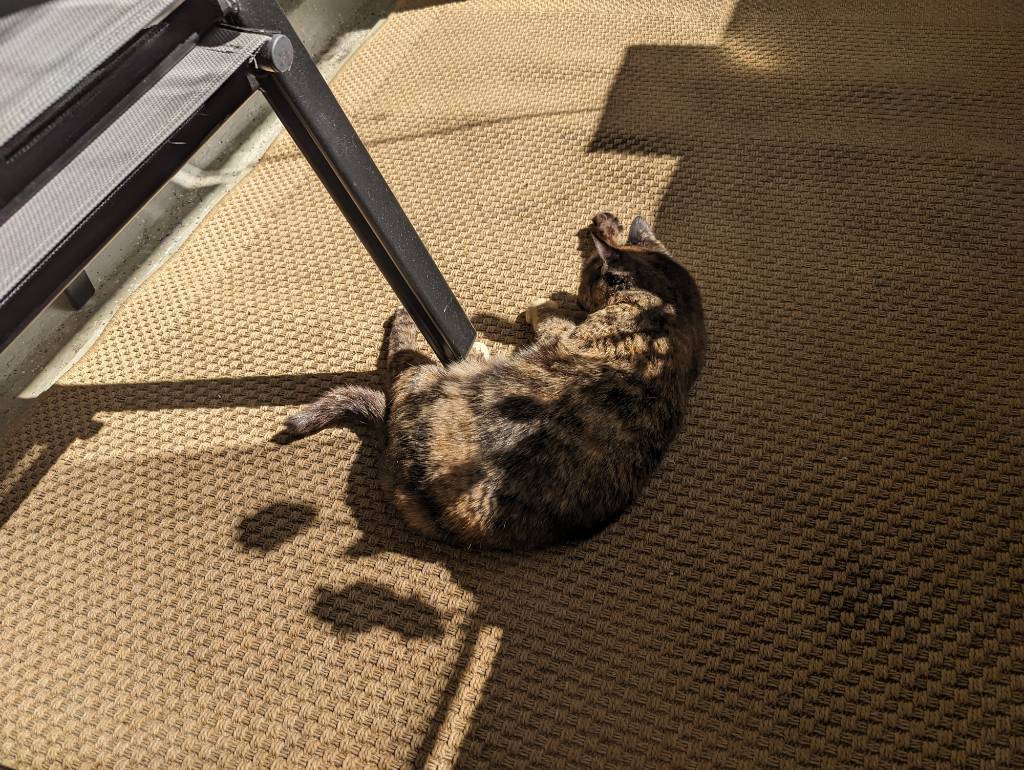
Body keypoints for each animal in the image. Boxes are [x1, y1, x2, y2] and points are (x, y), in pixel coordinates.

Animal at [284, 210, 708, 548]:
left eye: (586, 284)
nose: (580, 300)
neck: (673, 304)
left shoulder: (565, 334)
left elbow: (552, 316)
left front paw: (546, 303)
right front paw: (607, 225)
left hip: (426, 379)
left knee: (398, 358)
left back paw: (411, 320)